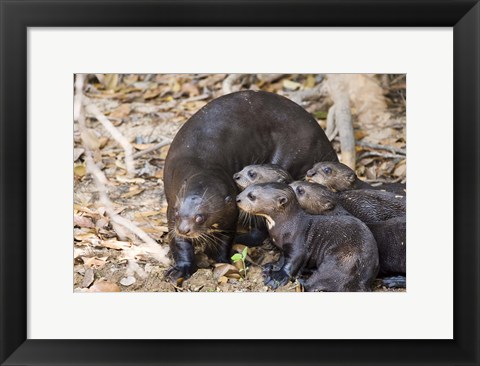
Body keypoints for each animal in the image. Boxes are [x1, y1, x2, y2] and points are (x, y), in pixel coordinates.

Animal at [164, 90, 338, 282]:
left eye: (200, 217)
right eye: (179, 213)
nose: (184, 229)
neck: (200, 163)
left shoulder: (229, 214)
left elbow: (224, 240)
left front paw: (224, 261)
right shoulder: (172, 207)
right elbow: (179, 242)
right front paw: (181, 269)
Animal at [235, 183, 378, 292]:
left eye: (252, 196)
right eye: (246, 188)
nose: (237, 198)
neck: (287, 226)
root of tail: (363, 280)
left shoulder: (297, 244)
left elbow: (292, 262)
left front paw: (276, 278)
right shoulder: (283, 247)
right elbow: (282, 258)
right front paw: (272, 266)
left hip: (342, 262)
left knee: (318, 282)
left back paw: (301, 279)